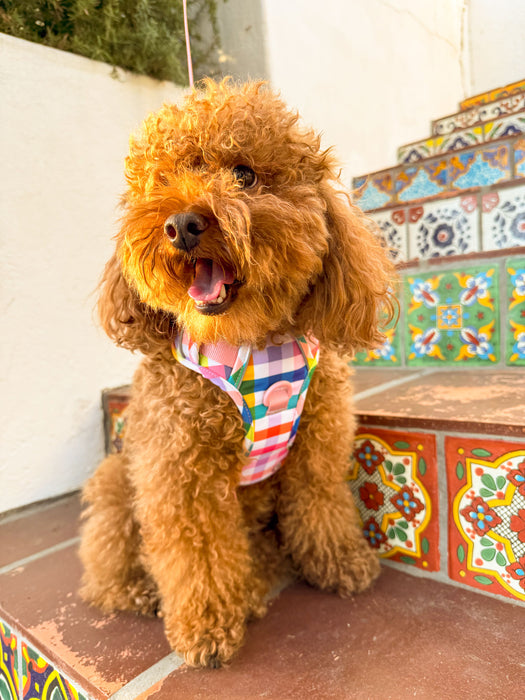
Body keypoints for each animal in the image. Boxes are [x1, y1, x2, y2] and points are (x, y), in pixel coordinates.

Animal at [80, 79, 396, 668]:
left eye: (244, 175)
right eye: (162, 182)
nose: (182, 224)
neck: (252, 345)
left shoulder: (316, 443)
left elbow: (321, 503)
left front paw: (340, 561)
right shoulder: (179, 473)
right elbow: (198, 551)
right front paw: (206, 627)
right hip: (116, 477)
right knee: (106, 559)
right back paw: (139, 590)